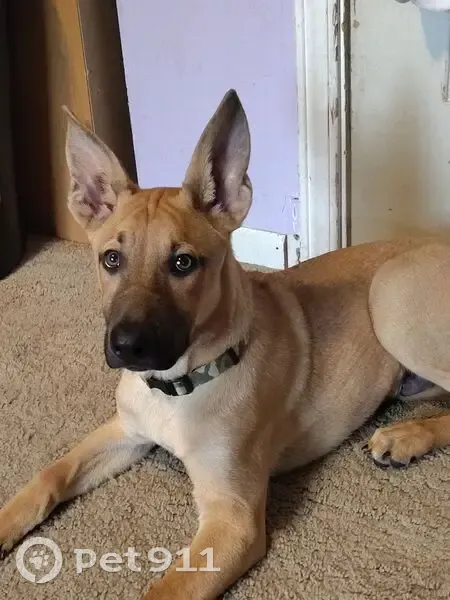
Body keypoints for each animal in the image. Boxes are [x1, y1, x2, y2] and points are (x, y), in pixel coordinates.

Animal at [1, 89, 450, 599]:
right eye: (111, 259)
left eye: (183, 263)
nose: (126, 347)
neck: (178, 385)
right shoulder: (125, 430)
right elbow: (50, 473)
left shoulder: (232, 519)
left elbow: (165, 591)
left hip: (391, 299)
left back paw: (406, 436)